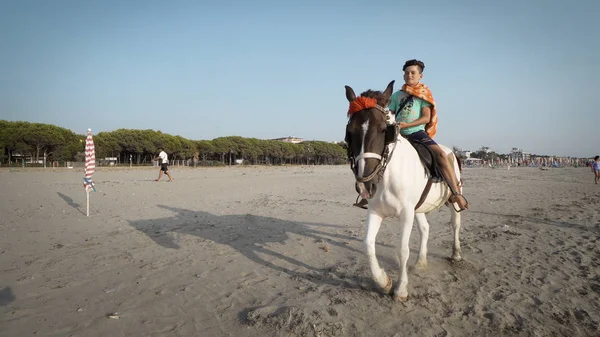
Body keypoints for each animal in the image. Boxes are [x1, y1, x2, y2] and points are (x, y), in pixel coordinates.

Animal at [342, 79, 464, 302]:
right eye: (350, 132)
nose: (365, 185)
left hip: (452, 197)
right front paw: (383, 282)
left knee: (455, 223)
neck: (387, 174)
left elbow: (402, 250)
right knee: (425, 228)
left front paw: (400, 289)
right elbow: (368, 245)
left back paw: (456, 253)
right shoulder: (375, 211)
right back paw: (421, 262)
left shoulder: (406, 213)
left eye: (384, 130)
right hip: (419, 205)